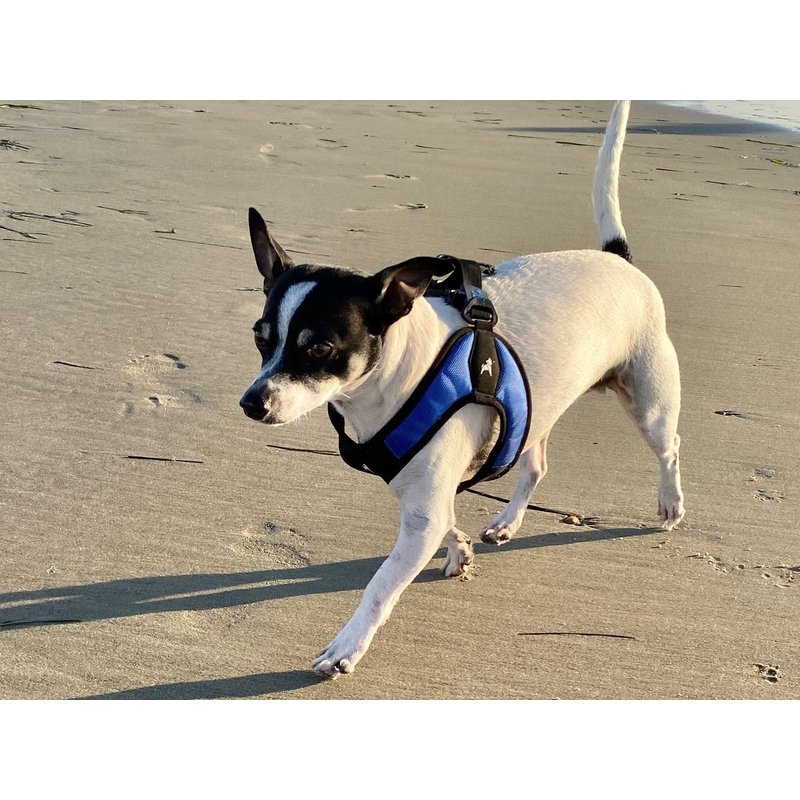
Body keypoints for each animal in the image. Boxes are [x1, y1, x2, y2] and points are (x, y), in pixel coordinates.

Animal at [239, 101, 684, 678]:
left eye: (319, 348)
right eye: (260, 337)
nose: (251, 404)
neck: (399, 376)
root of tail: (617, 258)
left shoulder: (422, 515)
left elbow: (380, 586)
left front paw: (347, 647)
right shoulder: (426, 500)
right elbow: (448, 519)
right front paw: (462, 549)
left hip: (650, 401)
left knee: (669, 449)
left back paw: (670, 503)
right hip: (534, 412)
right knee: (536, 466)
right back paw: (507, 522)